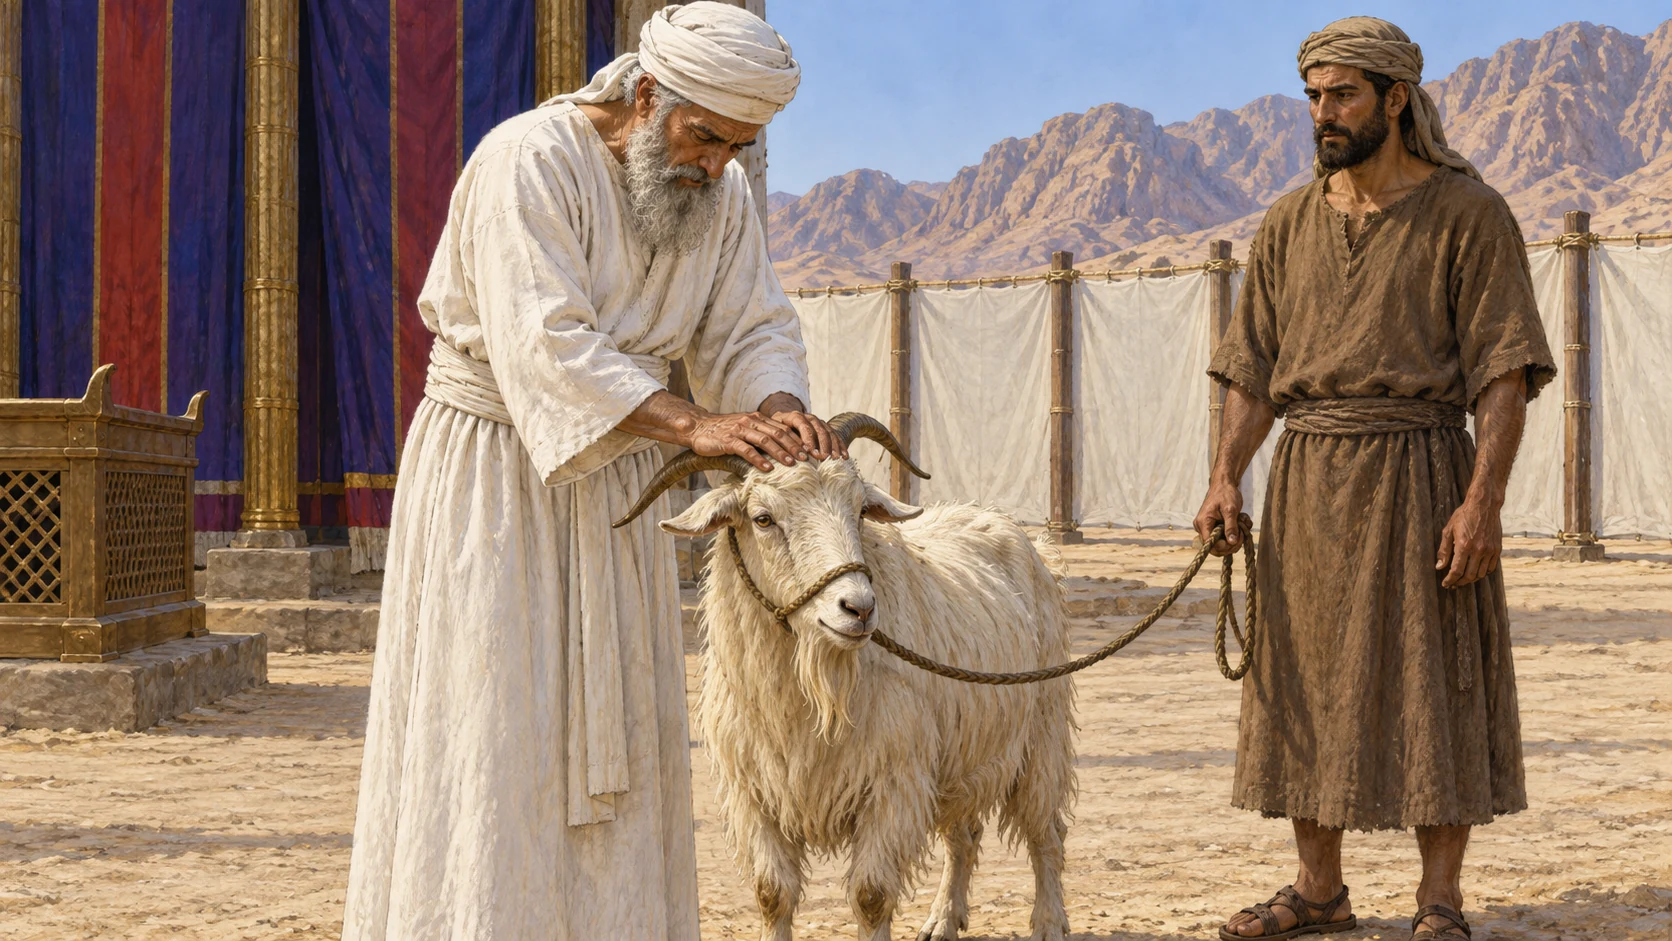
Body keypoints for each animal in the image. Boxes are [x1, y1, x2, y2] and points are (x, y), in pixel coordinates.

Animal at [616, 414, 1076, 941]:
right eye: (763, 518)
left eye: (858, 510)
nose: (858, 608)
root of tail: (1003, 523)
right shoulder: (754, 792)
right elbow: (771, 893)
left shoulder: (893, 783)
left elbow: (871, 896)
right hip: (959, 759)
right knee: (964, 832)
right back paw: (942, 919)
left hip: (1041, 733)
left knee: (1044, 831)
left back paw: (1048, 922)